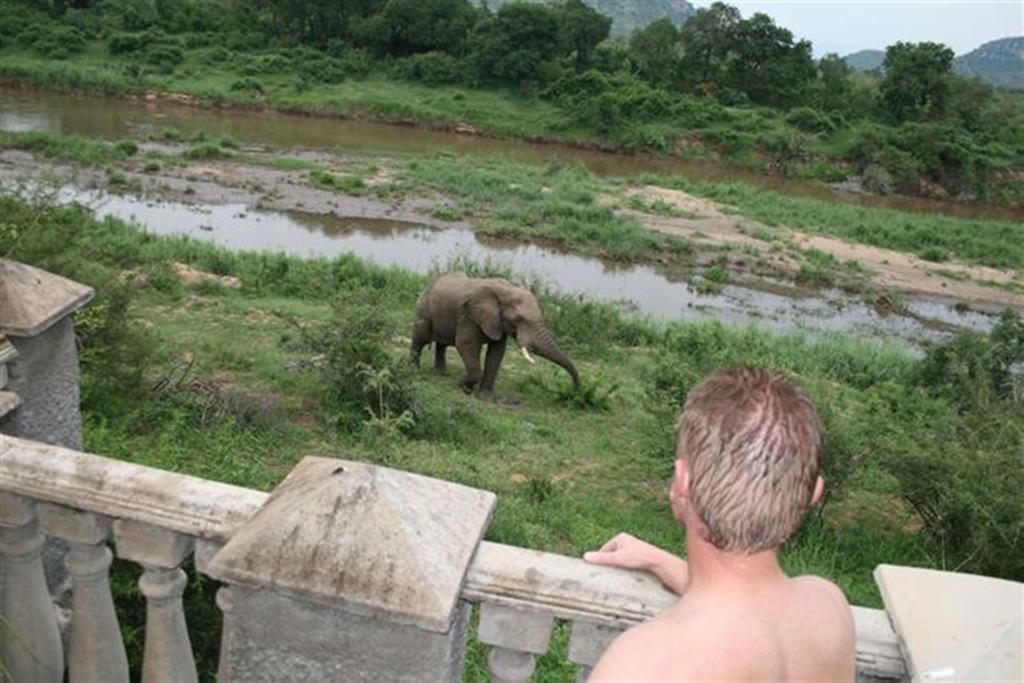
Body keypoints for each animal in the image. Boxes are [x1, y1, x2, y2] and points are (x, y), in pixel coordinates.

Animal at [411, 272, 581, 395]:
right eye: (519, 319)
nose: (575, 390)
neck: (504, 290)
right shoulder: (470, 316)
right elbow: (465, 345)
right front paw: (462, 387)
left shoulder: (498, 322)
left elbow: (497, 353)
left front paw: (485, 396)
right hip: (424, 309)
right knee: (421, 338)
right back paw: (414, 370)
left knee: (442, 343)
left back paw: (441, 373)